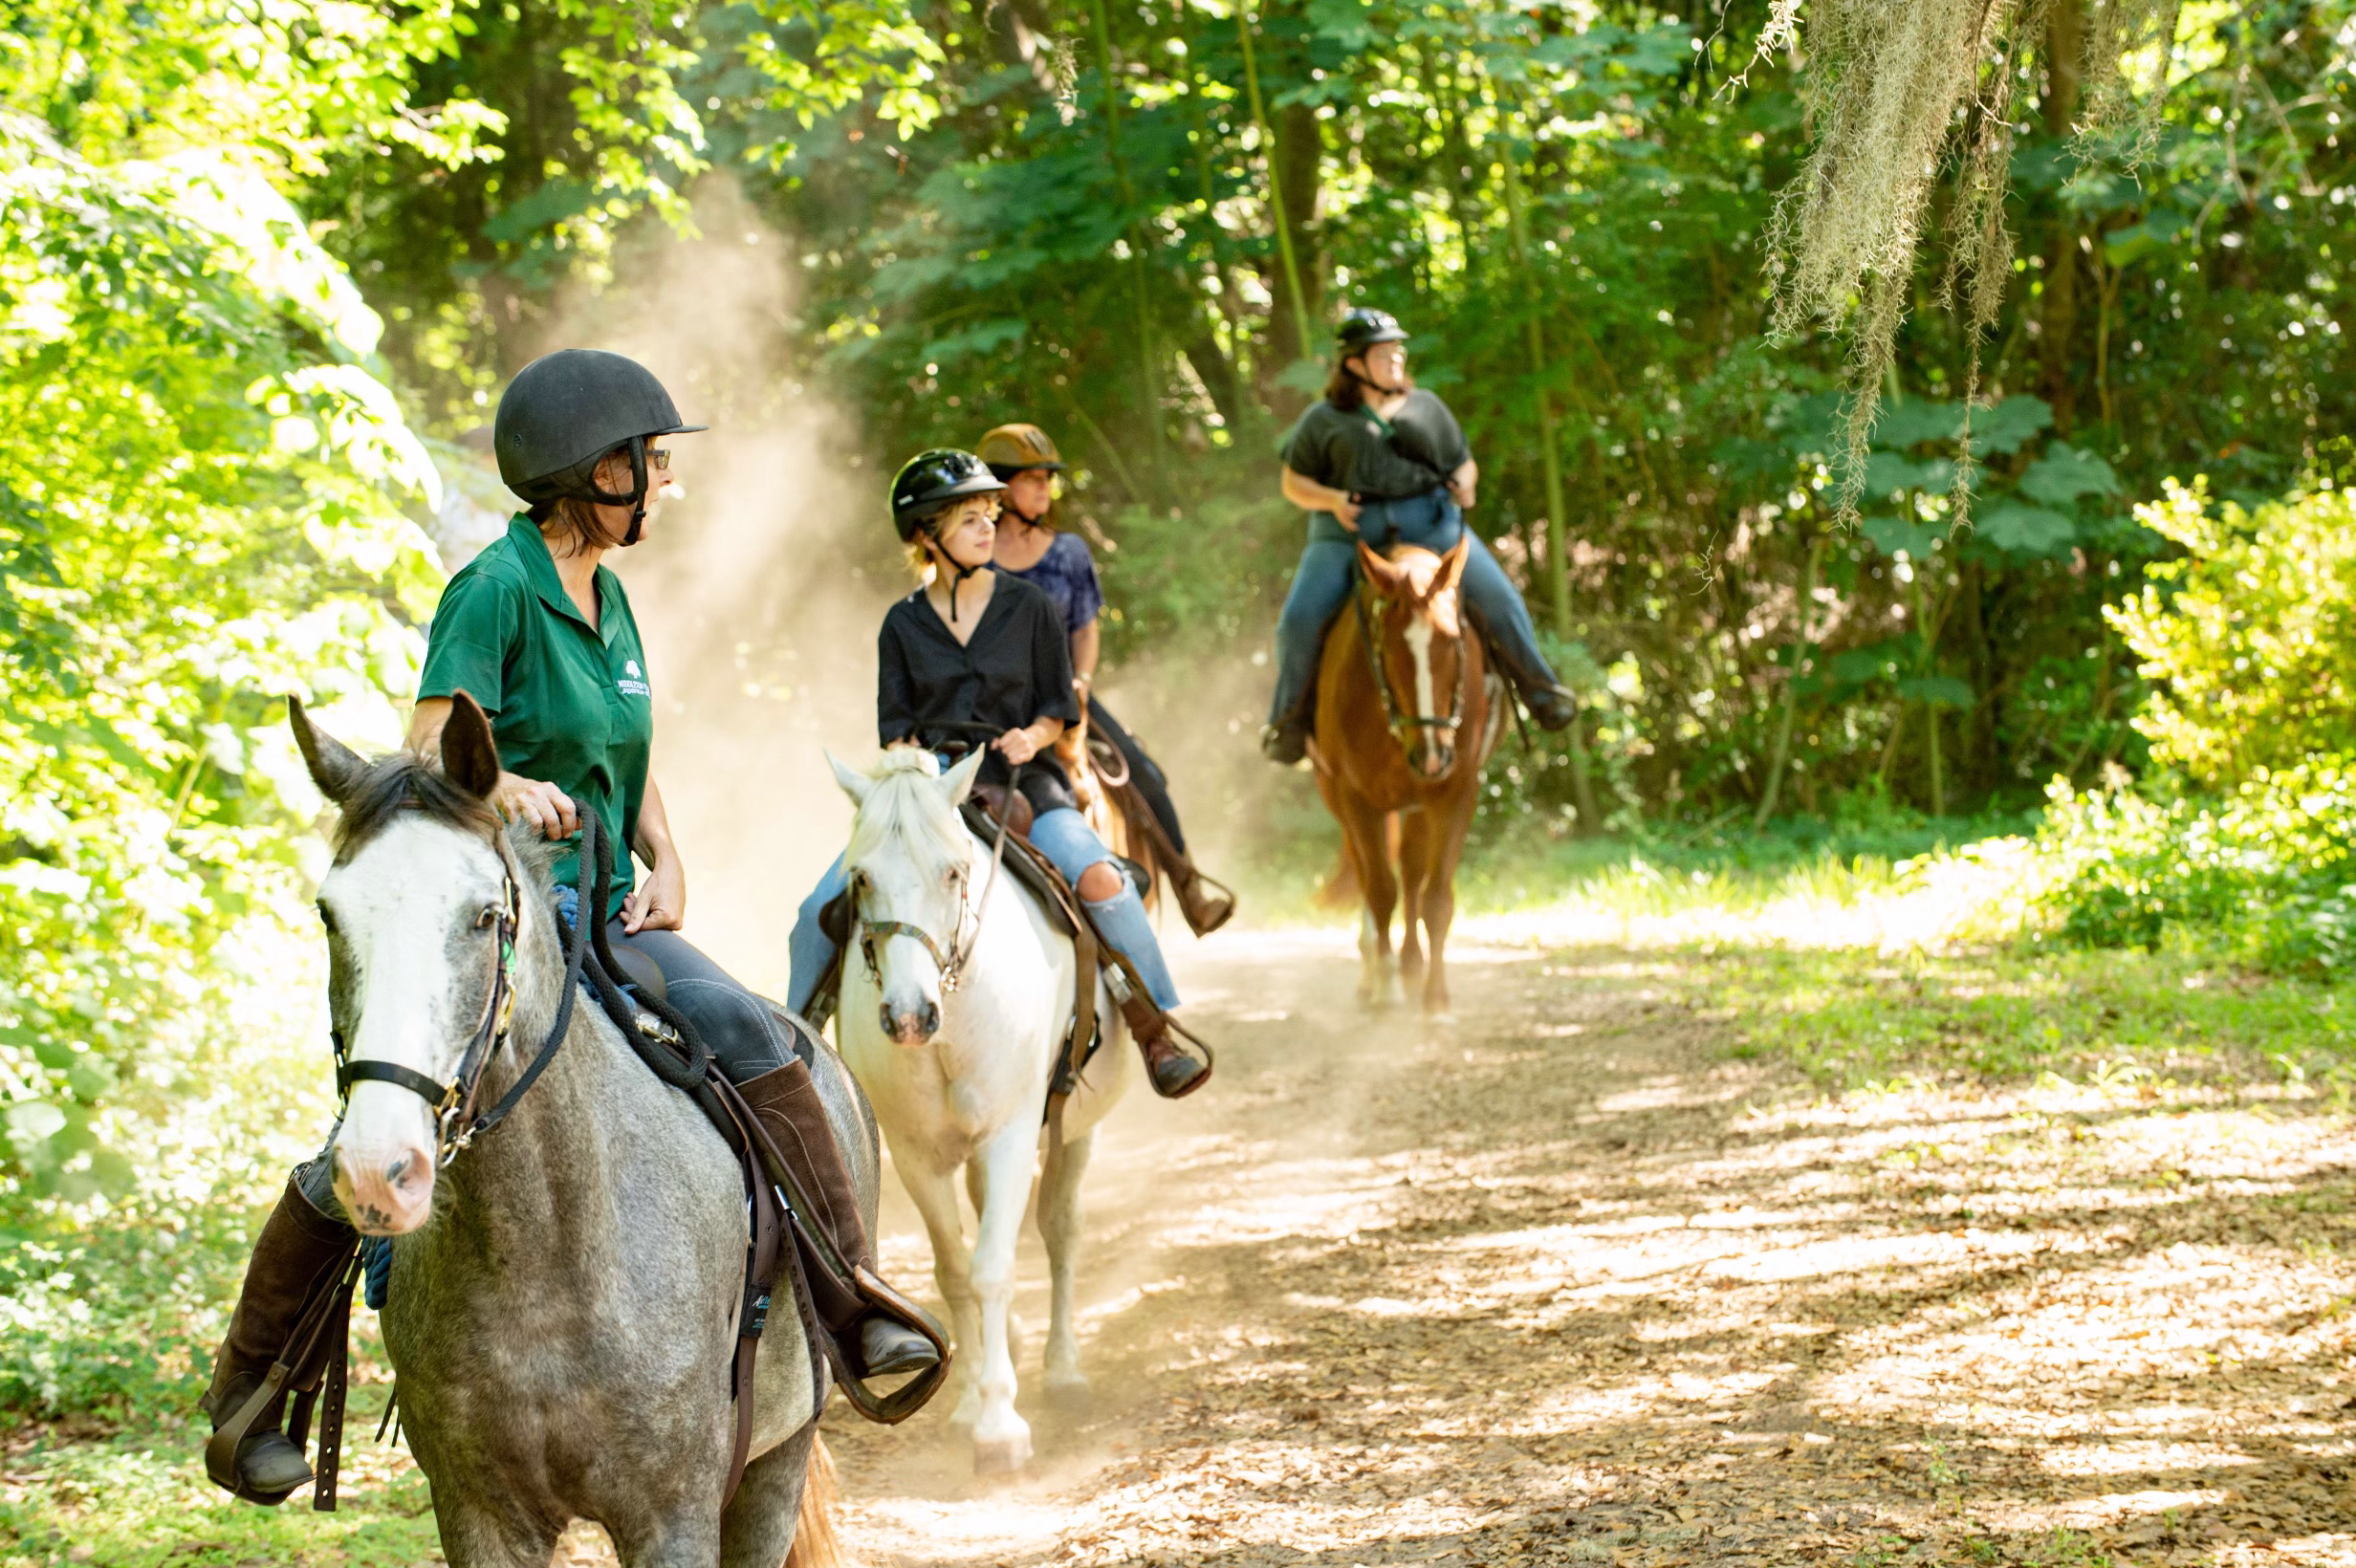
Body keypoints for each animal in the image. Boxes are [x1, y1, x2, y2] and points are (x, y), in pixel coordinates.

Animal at [824, 752, 1135, 1469]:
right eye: (861, 876)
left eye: (952, 871)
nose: (909, 1016)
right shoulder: (917, 1155)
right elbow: (955, 1271)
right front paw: (969, 1403)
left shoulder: (1011, 1137)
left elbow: (993, 1268)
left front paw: (1000, 1424)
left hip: (1073, 1133)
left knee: (1059, 1233)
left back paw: (1062, 1369)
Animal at [1309, 532, 1489, 1007]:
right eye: (1389, 650)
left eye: (1453, 642)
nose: (1432, 755)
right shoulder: (1357, 799)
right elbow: (1379, 891)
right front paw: (1386, 988)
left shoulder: (1455, 792)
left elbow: (1436, 899)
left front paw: (1436, 1001)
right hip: (1341, 800)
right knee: (1371, 873)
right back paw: (1376, 969)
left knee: (1410, 869)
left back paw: (1410, 963)